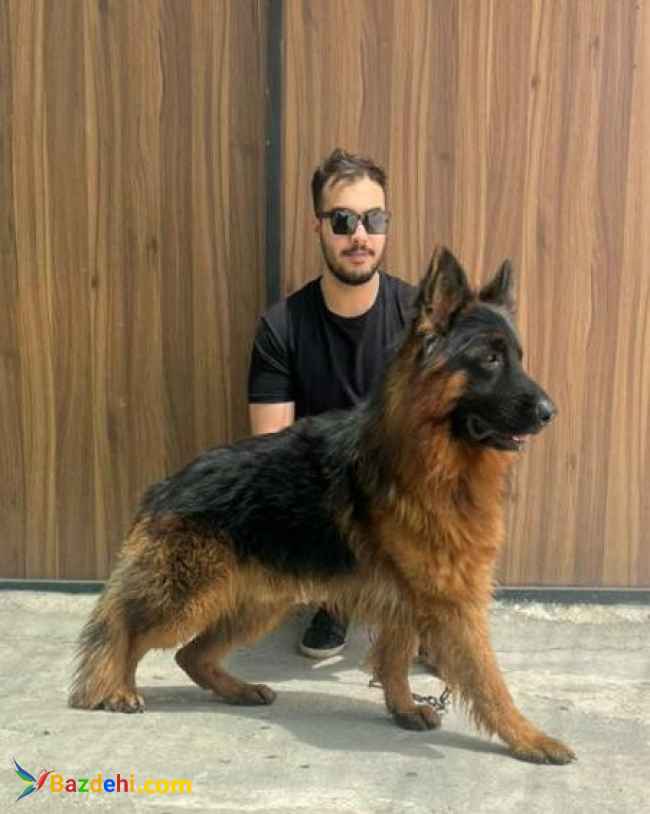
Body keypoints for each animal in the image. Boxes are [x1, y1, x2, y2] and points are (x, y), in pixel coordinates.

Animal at [69, 245, 575, 765]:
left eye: (518, 358)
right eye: (490, 359)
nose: (550, 412)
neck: (425, 454)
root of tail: (166, 484)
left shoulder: (407, 599)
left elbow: (395, 659)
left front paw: (403, 708)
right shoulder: (451, 603)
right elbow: (490, 681)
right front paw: (529, 737)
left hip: (257, 604)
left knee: (189, 654)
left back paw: (238, 690)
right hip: (188, 599)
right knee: (124, 630)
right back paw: (114, 689)